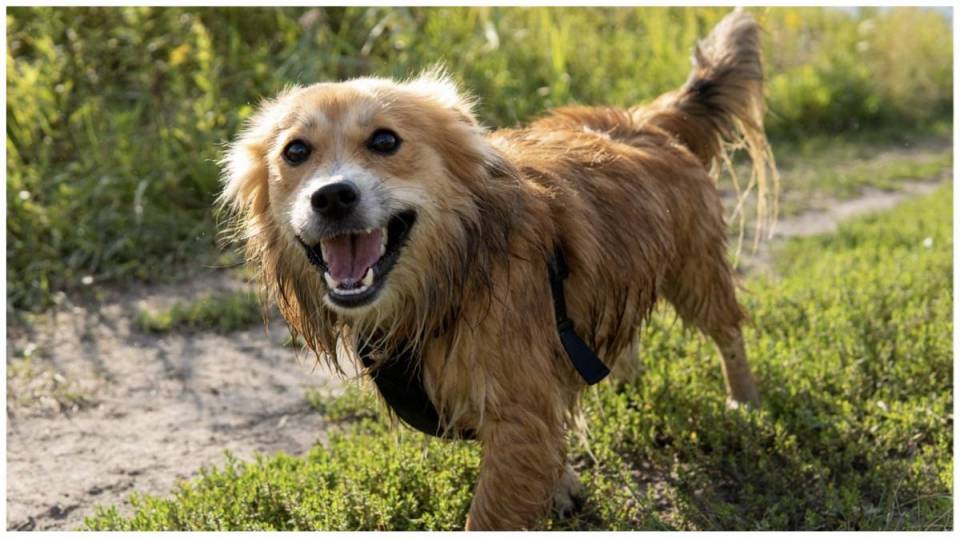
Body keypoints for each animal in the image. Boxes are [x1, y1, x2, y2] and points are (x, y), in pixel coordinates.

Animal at [221, 9, 776, 532]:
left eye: (384, 141)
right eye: (296, 151)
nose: (332, 196)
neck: (448, 278)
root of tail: (647, 119)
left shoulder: (517, 411)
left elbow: (493, 506)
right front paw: (562, 485)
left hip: (695, 269)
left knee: (727, 330)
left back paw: (744, 401)